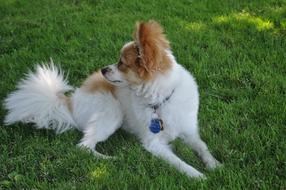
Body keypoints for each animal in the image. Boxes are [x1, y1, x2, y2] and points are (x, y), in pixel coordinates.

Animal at [3, 20, 221, 178]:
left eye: (121, 63)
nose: (103, 69)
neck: (162, 99)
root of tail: (71, 101)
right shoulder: (154, 143)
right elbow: (178, 162)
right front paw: (197, 175)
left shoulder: (189, 130)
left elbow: (202, 146)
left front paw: (214, 165)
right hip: (112, 111)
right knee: (84, 146)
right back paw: (113, 159)